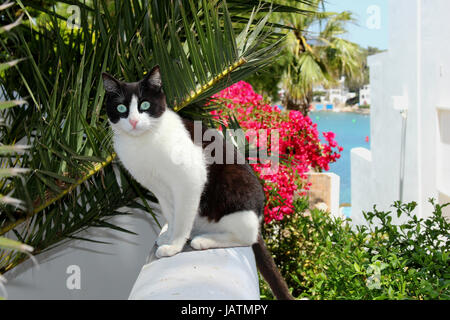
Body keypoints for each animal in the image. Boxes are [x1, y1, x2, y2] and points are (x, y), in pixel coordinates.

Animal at [101, 65, 292, 300]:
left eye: (145, 105)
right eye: (121, 108)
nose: (134, 122)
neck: (144, 141)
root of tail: (258, 218)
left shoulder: (189, 180)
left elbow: (182, 218)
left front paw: (174, 246)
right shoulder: (161, 190)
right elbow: (172, 215)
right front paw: (169, 237)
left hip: (235, 204)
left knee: (245, 238)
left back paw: (204, 240)